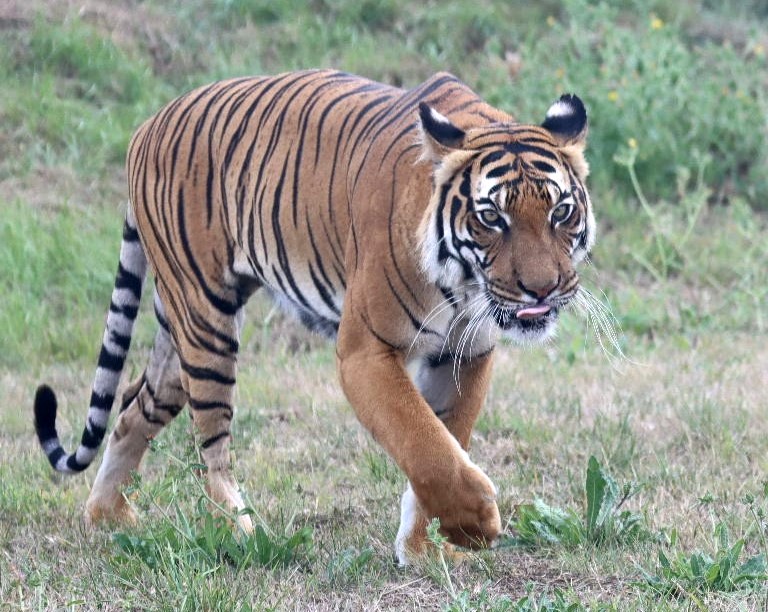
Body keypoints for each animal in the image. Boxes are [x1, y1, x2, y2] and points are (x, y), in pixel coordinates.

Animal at [33, 69, 592, 568]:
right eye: (491, 217)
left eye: (560, 213)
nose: (541, 288)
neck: (463, 283)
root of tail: (148, 124)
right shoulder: (365, 352)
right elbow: (424, 443)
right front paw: (473, 525)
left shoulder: (464, 353)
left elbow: (444, 441)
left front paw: (421, 548)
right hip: (206, 320)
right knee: (211, 442)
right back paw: (238, 532)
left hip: (177, 335)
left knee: (133, 408)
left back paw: (107, 515)